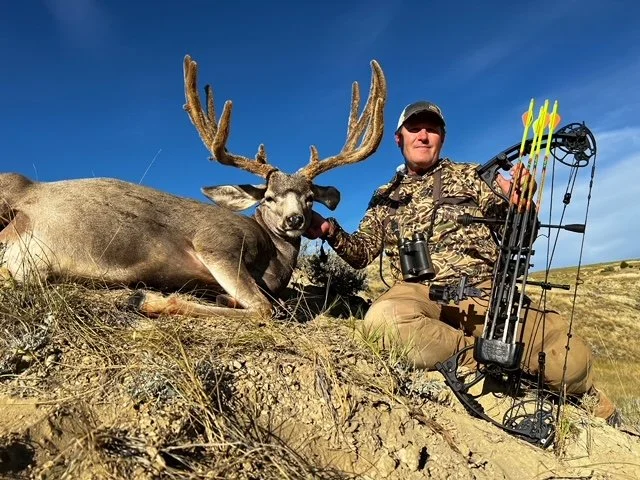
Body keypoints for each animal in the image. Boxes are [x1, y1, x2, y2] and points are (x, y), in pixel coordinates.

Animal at [0, 55, 387, 319]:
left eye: (309, 199)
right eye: (268, 197)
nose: (295, 220)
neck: (274, 260)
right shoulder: (217, 243)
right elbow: (265, 308)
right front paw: (149, 298)